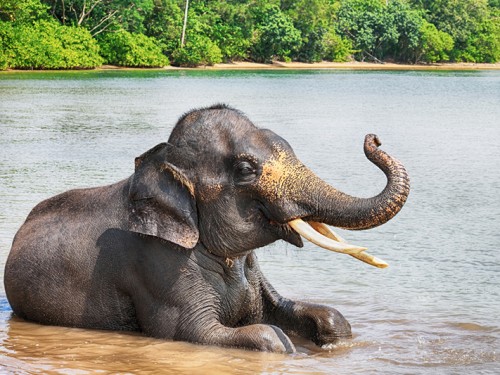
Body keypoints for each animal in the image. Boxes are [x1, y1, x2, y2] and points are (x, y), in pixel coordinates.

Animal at [4, 104, 410, 354]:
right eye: (245, 170)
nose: (374, 138)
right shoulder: (156, 266)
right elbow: (206, 332)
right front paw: (286, 347)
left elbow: (311, 316)